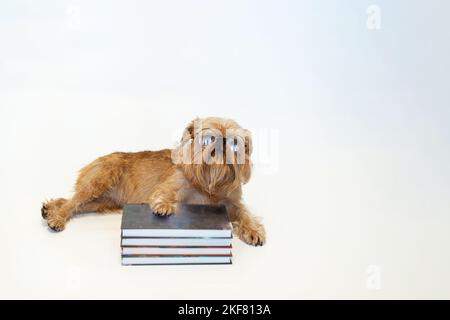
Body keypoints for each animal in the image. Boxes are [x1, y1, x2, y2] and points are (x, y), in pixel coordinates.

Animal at [40, 117, 266, 245]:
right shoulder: (173, 185)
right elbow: (166, 194)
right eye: (208, 138)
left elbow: (245, 214)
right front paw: (164, 206)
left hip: (101, 202)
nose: (223, 142)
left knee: (74, 203)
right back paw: (56, 217)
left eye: (236, 143)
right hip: (100, 180)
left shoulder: (232, 203)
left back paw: (48, 208)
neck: (210, 183)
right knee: (73, 202)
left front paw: (253, 230)